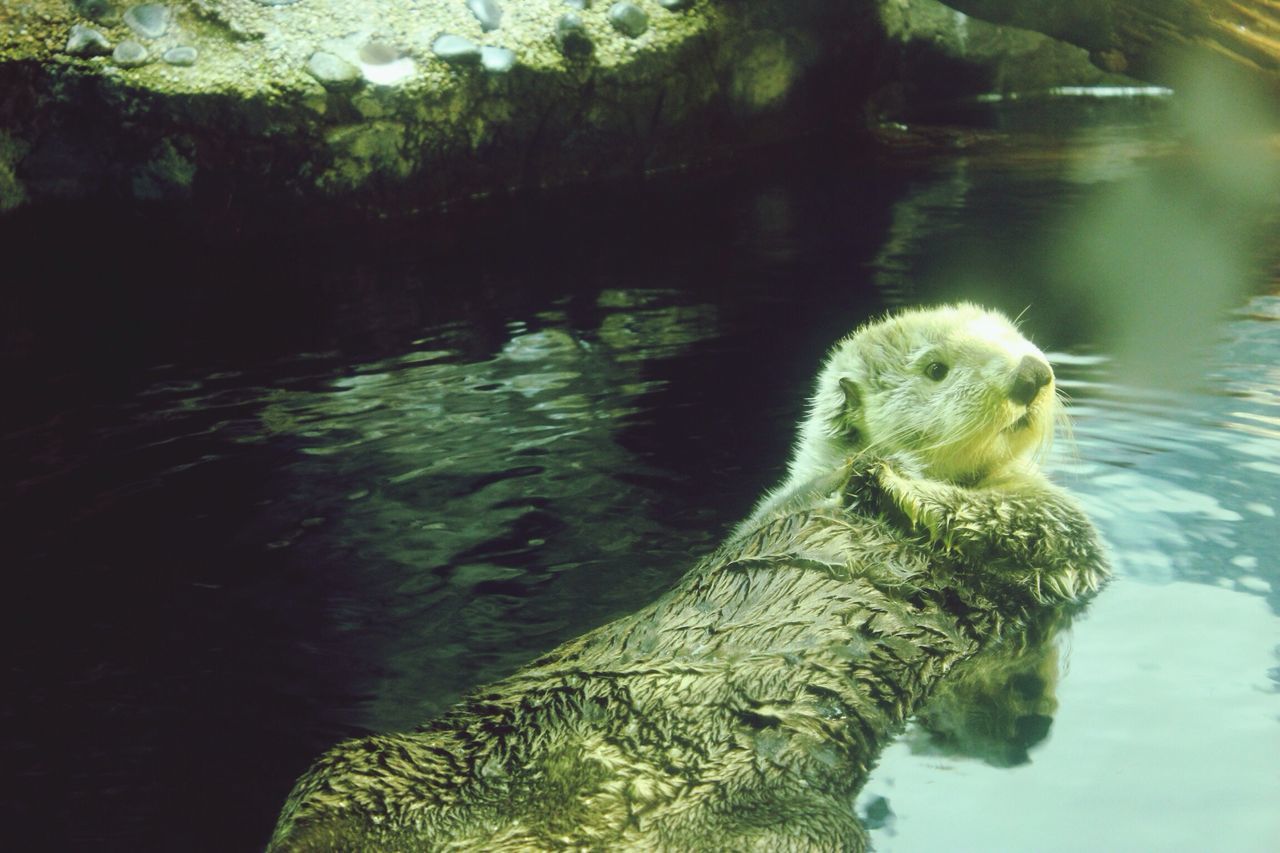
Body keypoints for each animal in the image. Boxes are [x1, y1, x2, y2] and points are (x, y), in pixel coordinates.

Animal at [267, 302, 1111, 845]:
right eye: (937, 367)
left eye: (1013, 335)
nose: (1032, 371)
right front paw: (879, 468)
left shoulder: (1062, 529)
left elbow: (1018, 525)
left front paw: (886, 477)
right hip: (374, 768)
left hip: (786, 826)